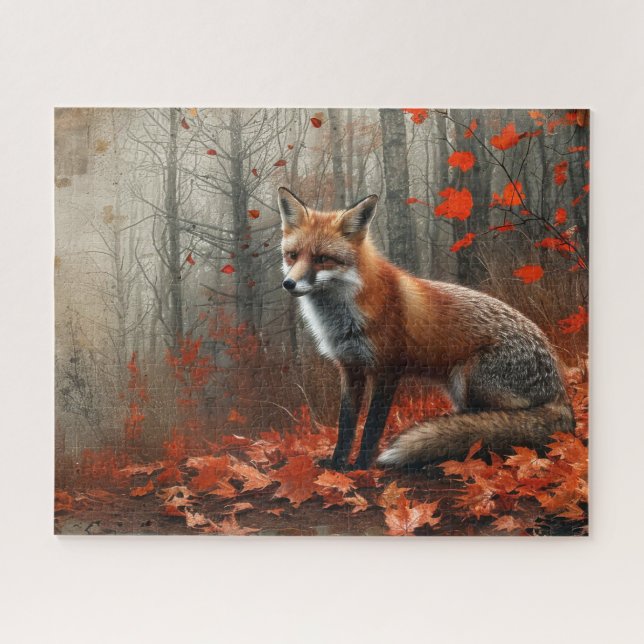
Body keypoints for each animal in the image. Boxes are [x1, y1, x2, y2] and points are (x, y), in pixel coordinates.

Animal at [278, 187, 575, 471]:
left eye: (322, 258)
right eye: (292, 256)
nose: (288, 284)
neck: (344, 317)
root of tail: (560, 391)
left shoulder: (388, 369)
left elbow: (372, 427)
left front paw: (361, 466)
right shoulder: (350, 367)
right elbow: (346, 427)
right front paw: (337, 464)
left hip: (469, 381)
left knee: (497, 424)